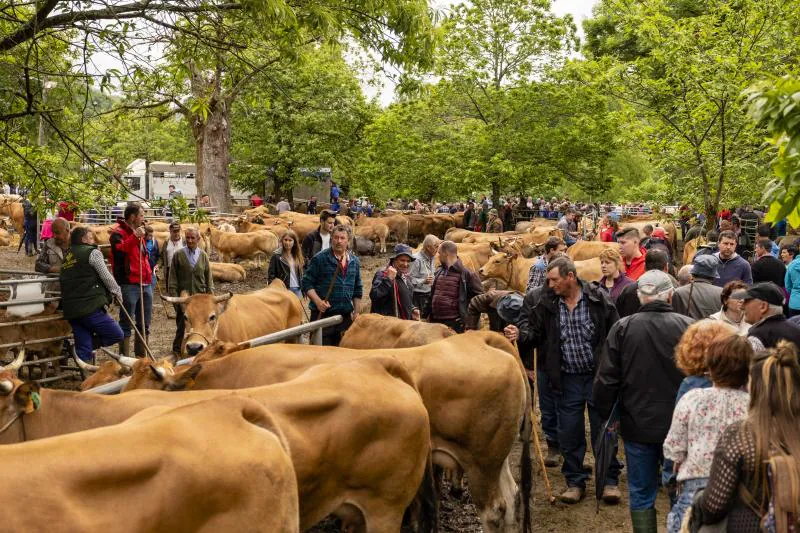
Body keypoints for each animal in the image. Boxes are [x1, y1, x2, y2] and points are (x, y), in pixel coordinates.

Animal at [122, 332, 532, 532]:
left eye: (149, 383)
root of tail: (478, 339)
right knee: (512, 499)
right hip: (497, 460)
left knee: (495, 511)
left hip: (480, 463)